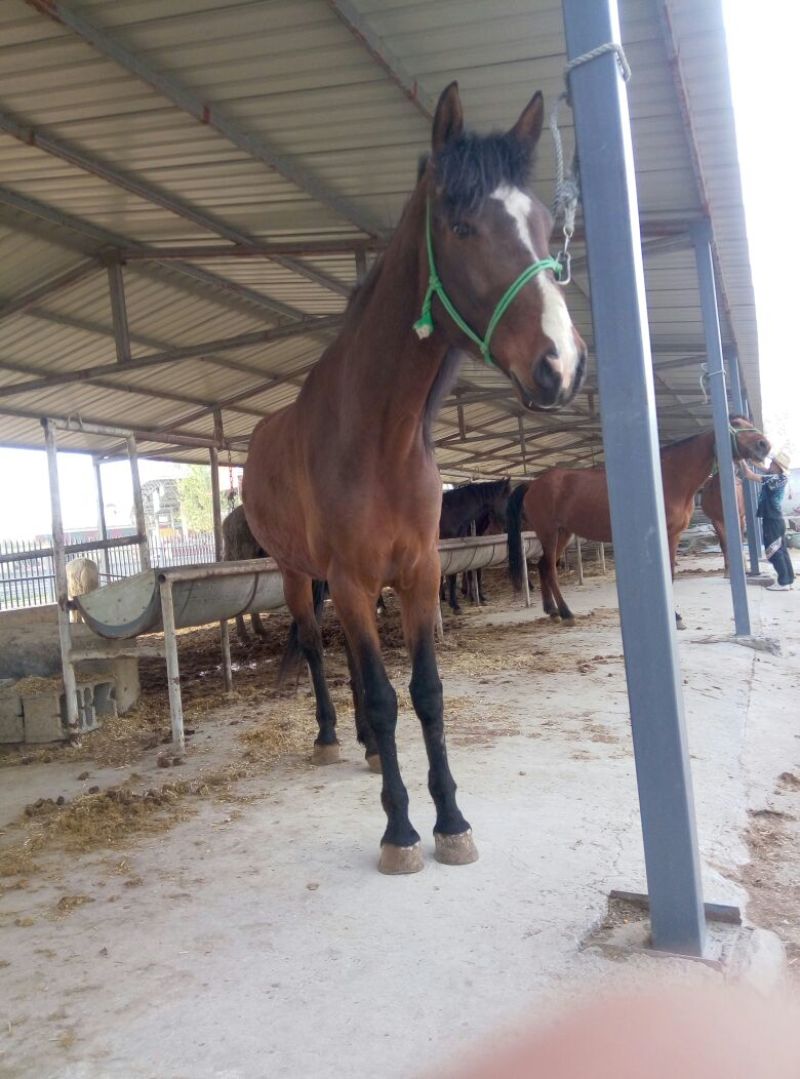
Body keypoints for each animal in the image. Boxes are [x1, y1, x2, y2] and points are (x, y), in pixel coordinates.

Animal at [507, 416, 770, 628]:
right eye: (736, 424)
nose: (765, 445)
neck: (668, 477)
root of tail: (533, 484)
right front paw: (674, 617)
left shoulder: (674, 534)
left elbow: (670, 573)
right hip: (550, 533)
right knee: (550, 569)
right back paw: (566, 613)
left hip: (564, 533)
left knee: (543, 566)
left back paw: (552, 611)